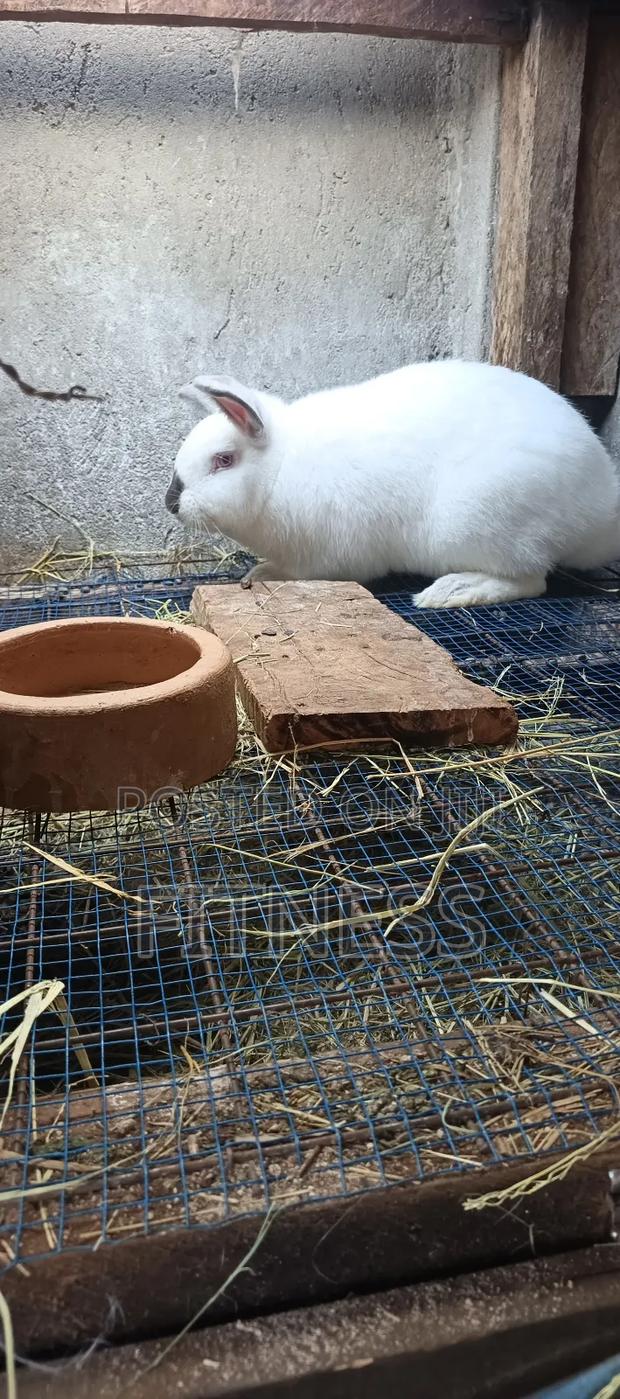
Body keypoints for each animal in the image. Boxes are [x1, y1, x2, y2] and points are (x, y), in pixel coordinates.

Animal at [166, 360, 620, 608]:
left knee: (531, 580)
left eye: (224, 460)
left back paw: (452, 591)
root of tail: (601, 511)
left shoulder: (327, 557)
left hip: (485, 525)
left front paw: (263, 573)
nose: (172, 502)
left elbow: (298, 573)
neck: (279, 468)